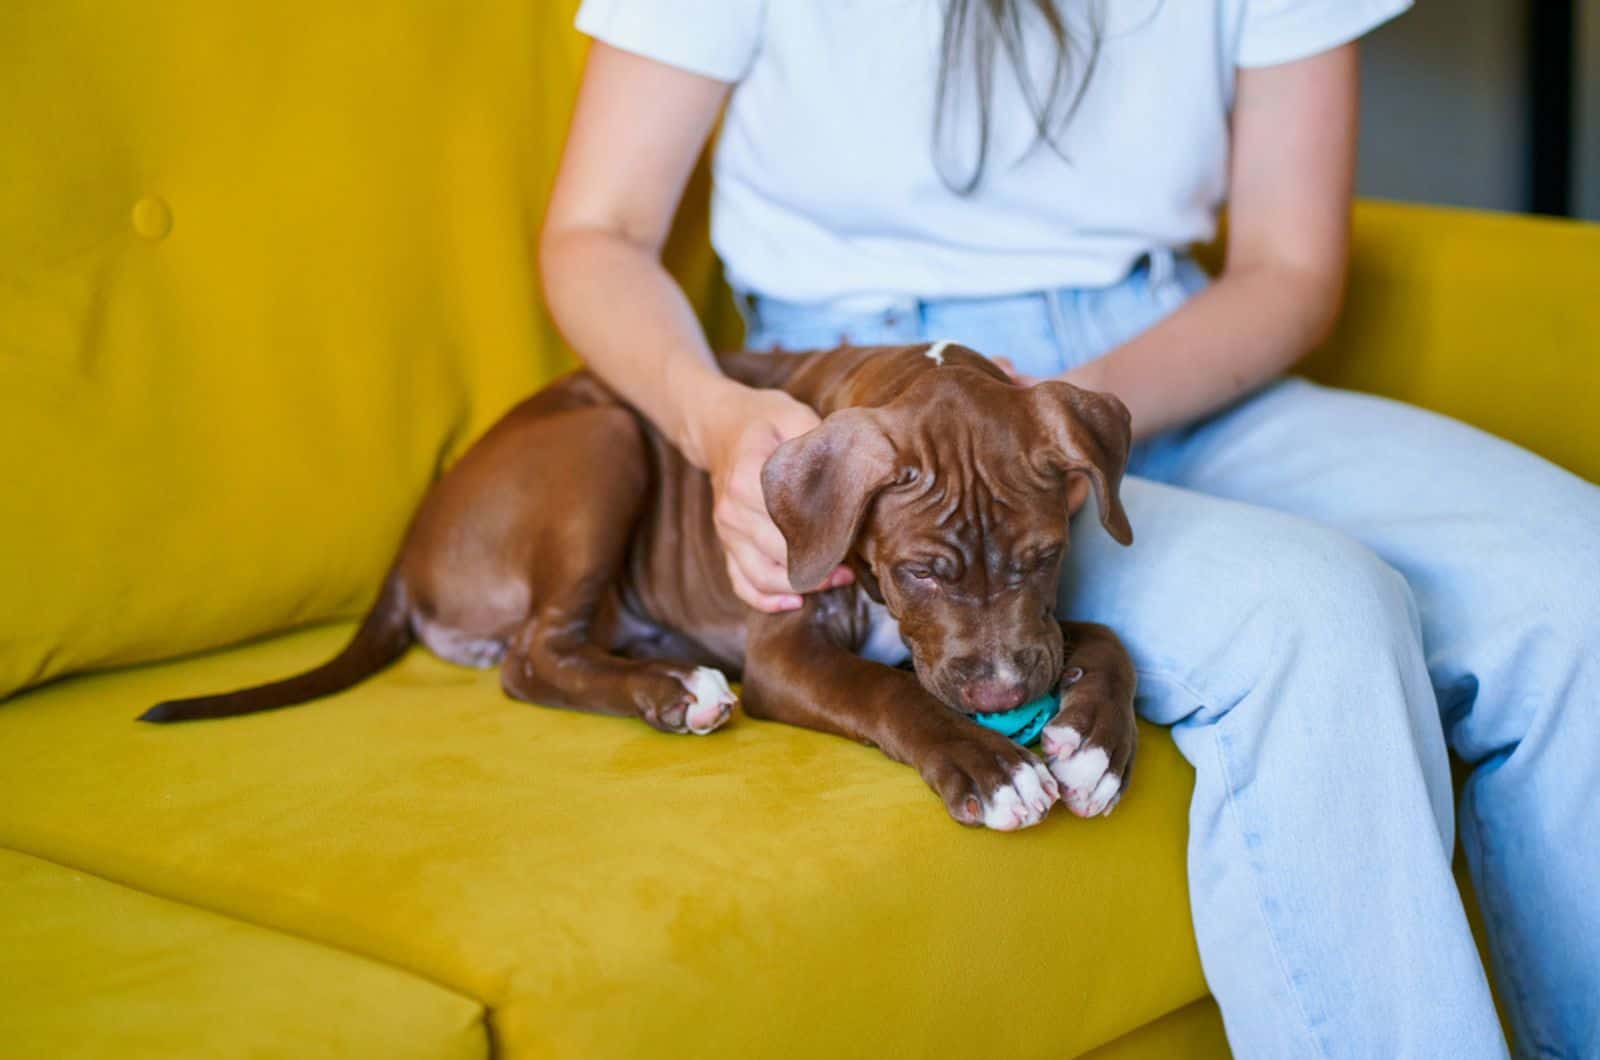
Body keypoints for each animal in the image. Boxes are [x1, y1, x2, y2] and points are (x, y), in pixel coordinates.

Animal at [140, 344, 1139, 832]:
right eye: (918, 572)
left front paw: (1093, 741)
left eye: (1048, 554)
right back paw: (675, 691)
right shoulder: (786, 648)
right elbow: (884, 692)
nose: (1005, 696)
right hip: (604, 443)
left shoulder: (1037, 624)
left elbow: (1104, 639)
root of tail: (409, 544)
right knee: (532, 659)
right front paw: (987, 765)